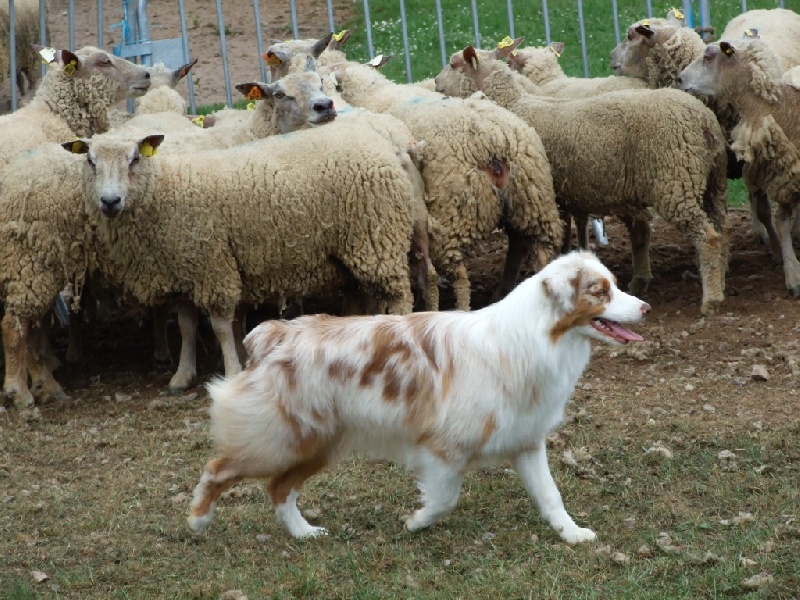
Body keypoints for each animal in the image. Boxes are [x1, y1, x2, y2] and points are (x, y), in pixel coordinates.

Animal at [438, 44, 732, 316]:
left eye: (453, 63)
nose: (436, 84)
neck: (515, 103)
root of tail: (703, 119)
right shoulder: (548, 198)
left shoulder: (537, 198)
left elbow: (525, 248)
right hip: (713, 184)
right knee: (720, 230)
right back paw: (718, 281)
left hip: (675, 180)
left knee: (707, 237)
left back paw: (711, 301)